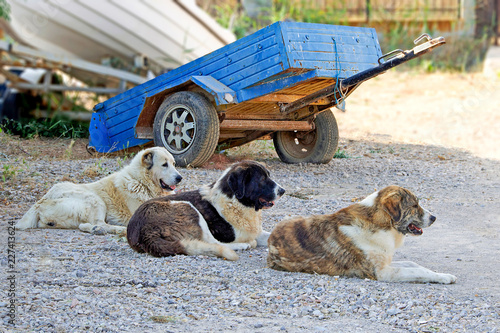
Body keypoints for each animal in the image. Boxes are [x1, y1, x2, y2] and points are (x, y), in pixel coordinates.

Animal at [16, 147, 184, 235]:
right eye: (164, 165)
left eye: (174, 164)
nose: (180, 178)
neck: (141, 182)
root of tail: (40, 202)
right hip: (95, 199)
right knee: (97, 224)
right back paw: (115, 229)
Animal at [126, 160, 286, 260]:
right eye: (262, 180)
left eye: (269, 176)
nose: (283, 190)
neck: (235, 201)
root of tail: (143, 232)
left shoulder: (257, 233)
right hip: (188, 208)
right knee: (214, 243)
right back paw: (244, 245)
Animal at [270, 184, 458, 282]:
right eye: (414, 206)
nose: (434, 217)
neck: (380, 223)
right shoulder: (383, 273)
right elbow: (418, 272)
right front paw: (445, 277)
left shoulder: (386, 261)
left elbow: (414, 265)